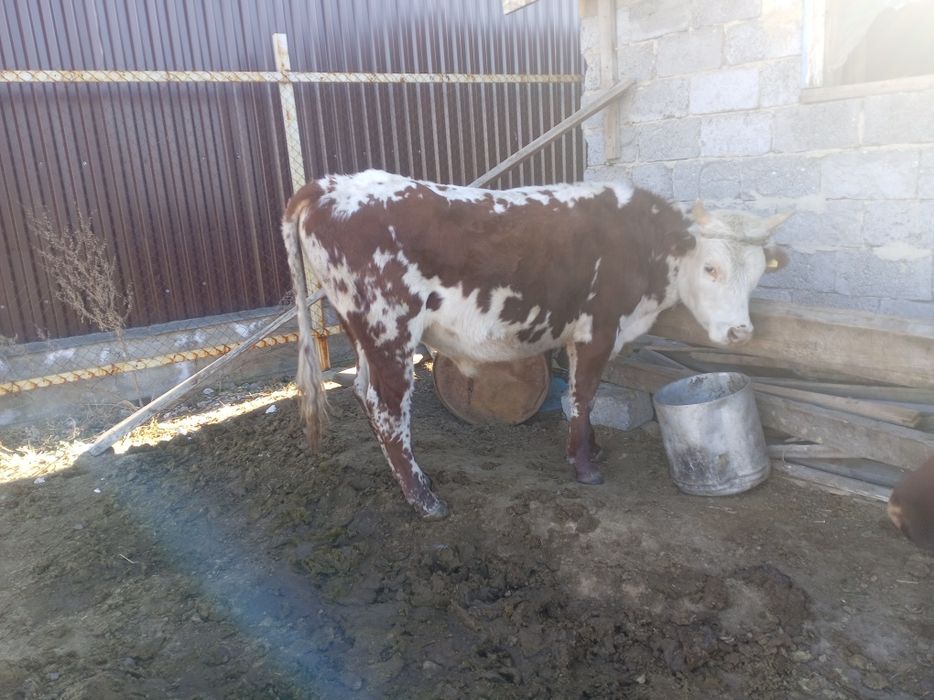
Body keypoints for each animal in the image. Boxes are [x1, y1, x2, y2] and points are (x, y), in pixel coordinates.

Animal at [282, 169, 788, 519]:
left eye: (758, 272)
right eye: (711, 268)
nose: (740, 332)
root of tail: (332, 185)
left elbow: (582, 399)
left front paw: (592, 449)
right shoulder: (597, 330)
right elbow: (583, 396)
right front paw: (584, 466)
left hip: (363, 332)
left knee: (363, 393)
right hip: (389, 327)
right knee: (388, 410)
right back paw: (425, 500)